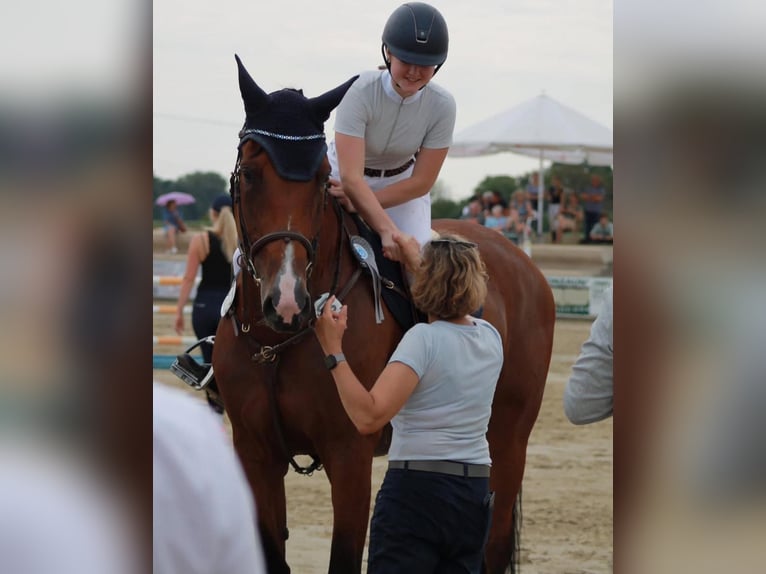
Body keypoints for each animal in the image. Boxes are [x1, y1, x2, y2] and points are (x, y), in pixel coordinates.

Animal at [216, 54, 560, 574]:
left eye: (322, 180)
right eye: (252, 174)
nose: (288, 302)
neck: (277, 345)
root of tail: (521, 260)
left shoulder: (350, 456)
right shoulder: (255, 455)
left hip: (507, 441)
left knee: (494, 545)